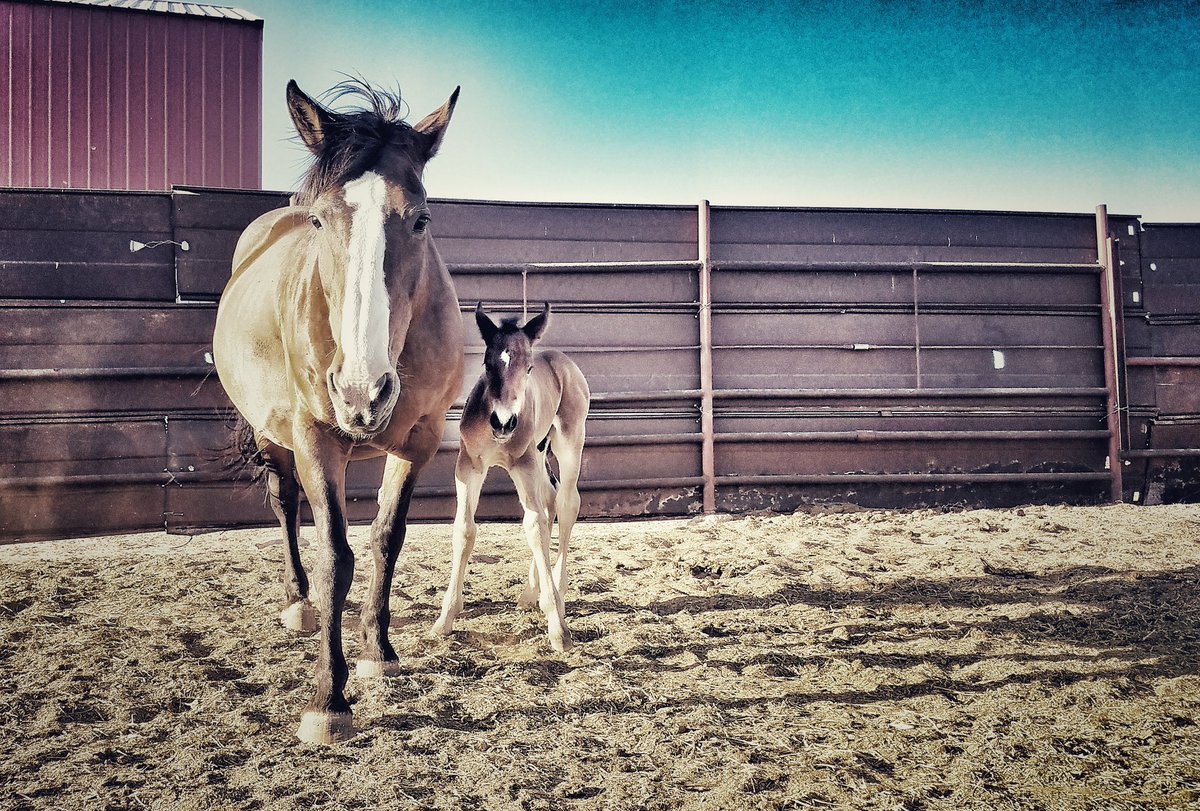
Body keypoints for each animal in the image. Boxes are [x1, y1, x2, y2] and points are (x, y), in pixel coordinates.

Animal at [212, 78, 463, 744]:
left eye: (420, 218)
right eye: (322, 218)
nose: (360, 394)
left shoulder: (420, 440)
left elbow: (385, 539)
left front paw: (377, 649)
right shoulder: (315, 439)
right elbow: (336, 556)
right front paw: (329, 697)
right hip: (272, 435)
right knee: (284, 504)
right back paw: (299, 603)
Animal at [431, 303, 590, 652]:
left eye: (528, 368)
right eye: (487, 363)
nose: (503, 423)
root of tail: (564, 362)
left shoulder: (524, 464)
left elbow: (534, 527)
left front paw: (558, 628)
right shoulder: (469, 466)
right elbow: (464, 530)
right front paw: (445, 618)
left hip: (568, 443)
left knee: (566, 503)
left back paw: (557, 591)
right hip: (541, 452)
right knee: (549, 500)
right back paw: (532, 592)